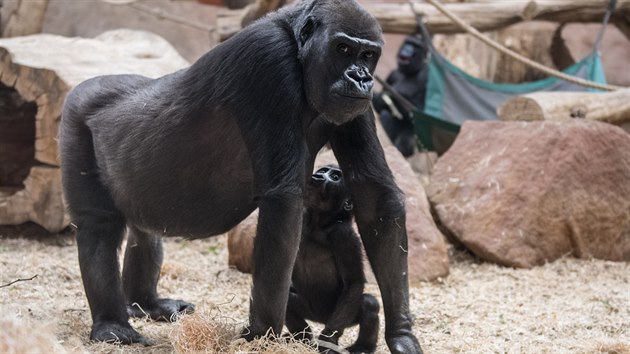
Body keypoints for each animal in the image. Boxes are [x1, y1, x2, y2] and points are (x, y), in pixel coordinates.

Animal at [286, 166, 380, 354]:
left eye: (335, 177)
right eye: (323, 170)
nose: (318, 176)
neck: (319, 222)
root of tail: (320, 319)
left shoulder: (344, 236)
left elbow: (353, 282)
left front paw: (327, 340)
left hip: (340, 316)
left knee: (369, 304)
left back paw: (363, 347)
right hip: (309, 310)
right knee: (286, 300)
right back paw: (301, 336)